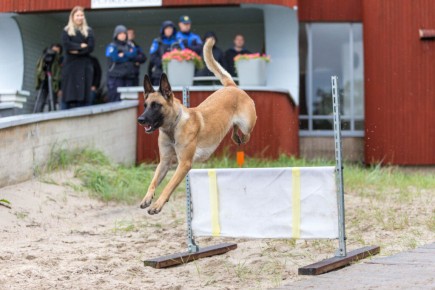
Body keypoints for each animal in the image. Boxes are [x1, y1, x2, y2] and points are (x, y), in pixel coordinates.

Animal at [138, 37, 258, 214]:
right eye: (145, 105)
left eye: (156, 105)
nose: (140, 119)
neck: (173, 128)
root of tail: (231, 87)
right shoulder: (164, 162)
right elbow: (154, 181)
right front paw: (147, 198)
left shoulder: (184, 164)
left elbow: (168, 186)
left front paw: (158, 204)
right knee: (234, 128)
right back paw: (235, 135)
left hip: (247, 124)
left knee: (247, 132)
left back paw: (240, 137)